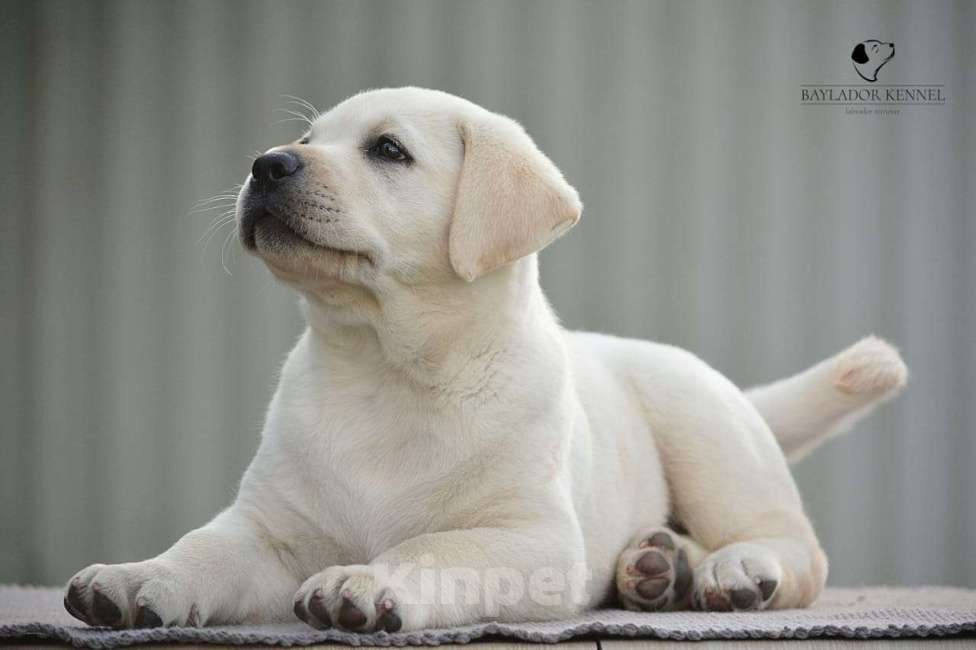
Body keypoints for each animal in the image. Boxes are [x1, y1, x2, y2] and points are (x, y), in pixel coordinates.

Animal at [63, 86, 908, 628]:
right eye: (305, 141)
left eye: (388, 150)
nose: (266, 164)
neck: (381, 368)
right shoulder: (266, 527)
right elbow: (203, 547)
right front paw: (138, 577)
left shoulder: (529, 536)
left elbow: (434, 547)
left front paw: (364, 580)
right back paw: (657, 568)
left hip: (707, 433)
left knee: (796, 547)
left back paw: (731, 571)